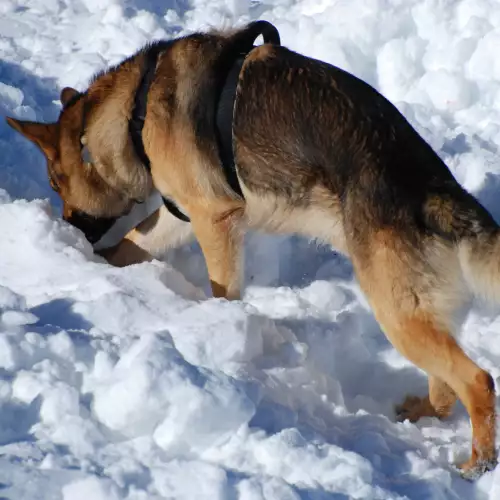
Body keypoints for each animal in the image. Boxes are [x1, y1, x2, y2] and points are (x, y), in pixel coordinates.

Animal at [6, 21, 500, 478]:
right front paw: (101, 265)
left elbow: (220, 288)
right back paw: (421, 414)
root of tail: (438, 190)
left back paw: (478, 462)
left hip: (397, 314)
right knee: (445, 386)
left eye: (56, 184)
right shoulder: (180, 214)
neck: (134, 112)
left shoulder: (214, 218)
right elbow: (131, 242)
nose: (69, 229)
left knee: (478, 379)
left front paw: (221, 326)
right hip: (414, 314)